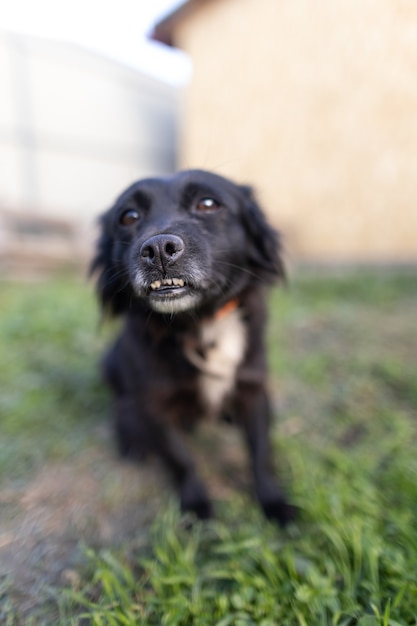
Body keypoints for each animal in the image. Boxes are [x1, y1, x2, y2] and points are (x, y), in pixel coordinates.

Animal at [92, 168, 292, 524]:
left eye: (208, 204)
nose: (159, 248)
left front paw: (273, 504)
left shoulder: (253, 390)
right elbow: (181, 459)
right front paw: (197, 508)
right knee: (122, 407)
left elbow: (260, 453)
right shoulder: (156, 405)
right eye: (128, 217)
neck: (197, 322)